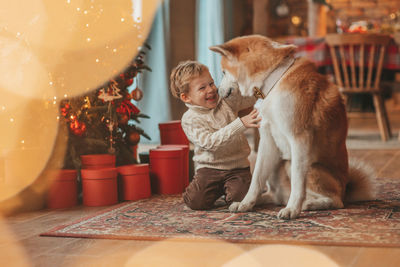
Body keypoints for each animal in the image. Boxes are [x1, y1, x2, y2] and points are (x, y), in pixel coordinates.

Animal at [209, 35, 376, 220]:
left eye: (223, 72)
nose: (217, 91)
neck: (274, 81)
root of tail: (345, 189)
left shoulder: (299, 139)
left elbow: (297, 182)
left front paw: (293, 209)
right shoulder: (267, 139)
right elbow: (256, 178)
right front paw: (246, 203)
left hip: (297, 165)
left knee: (336, 201)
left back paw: (308, 204)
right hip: (277, 164)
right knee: (274, 195)